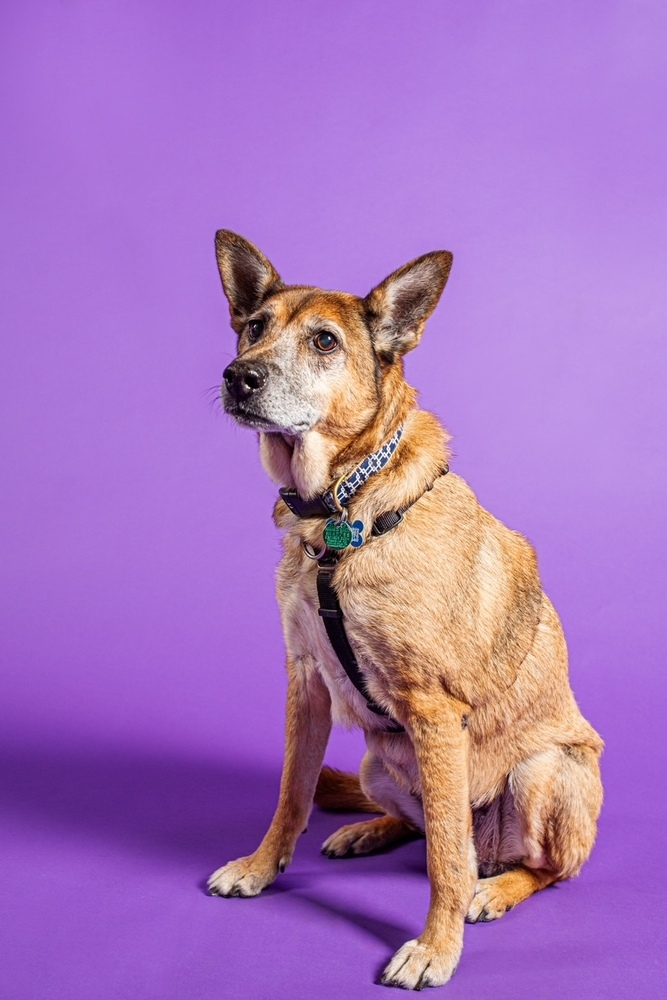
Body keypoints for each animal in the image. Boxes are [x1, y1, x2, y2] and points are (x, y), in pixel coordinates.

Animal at [209, 230, 604, 988]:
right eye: (254, 328)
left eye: (324, 341)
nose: (238, 376)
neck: (340, 514)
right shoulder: (306, 682)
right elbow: (291, 793)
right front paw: (261, 867)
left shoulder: (434, 710)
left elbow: (446, 860)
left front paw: (434, 947)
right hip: (377, 761)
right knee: (422, 826)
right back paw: (369, 829)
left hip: (541, 772)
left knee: (530, 865)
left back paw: (495, 888)